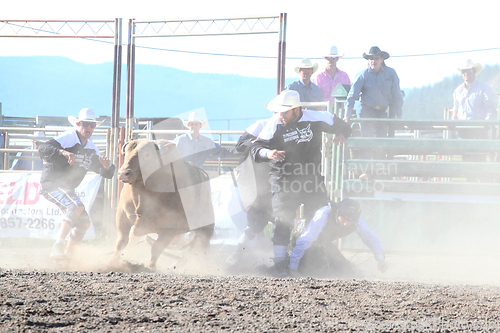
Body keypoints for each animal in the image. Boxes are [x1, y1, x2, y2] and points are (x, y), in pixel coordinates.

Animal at [110, 138, 215, 270]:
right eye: (126, 153)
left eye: (147, 155)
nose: (123, 173)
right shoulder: (122, 215)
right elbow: (121, 242)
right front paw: (112, 261)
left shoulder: (170, 228)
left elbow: (157, 247)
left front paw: (150, 267)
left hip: (207, 225)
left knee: (204, 243)